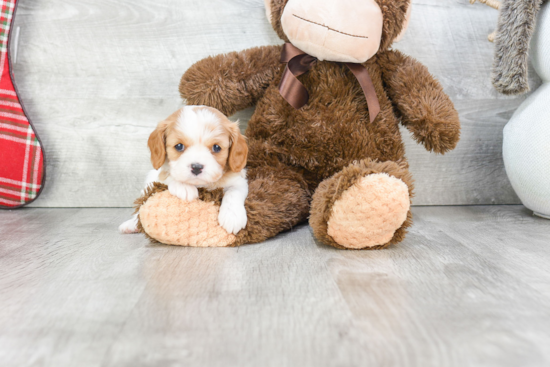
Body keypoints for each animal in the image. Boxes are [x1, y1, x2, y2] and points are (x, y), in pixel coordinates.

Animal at [122, 105, 251, 234]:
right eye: (179, 146)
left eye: (216, 147)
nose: (197, 167)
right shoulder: (158, 176)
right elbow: (169, 175)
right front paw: (184, 187)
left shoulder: (239, 180)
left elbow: (233, 192)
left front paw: (232, 216)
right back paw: (131, 224)